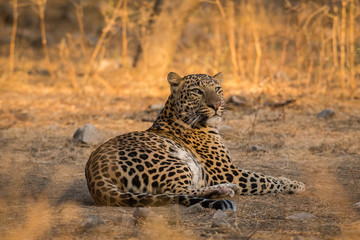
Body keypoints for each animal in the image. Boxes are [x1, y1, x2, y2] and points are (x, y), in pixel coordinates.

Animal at [86, 72, 306, 211]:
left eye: (218, 89)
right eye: (197, 91)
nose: (216, 105)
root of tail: (94, 173)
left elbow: (264, 175)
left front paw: (289, 180)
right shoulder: (228, 171)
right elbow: (263, 179)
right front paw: (295, 184)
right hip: (173, 162)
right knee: (177, 192)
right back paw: (225, 189)